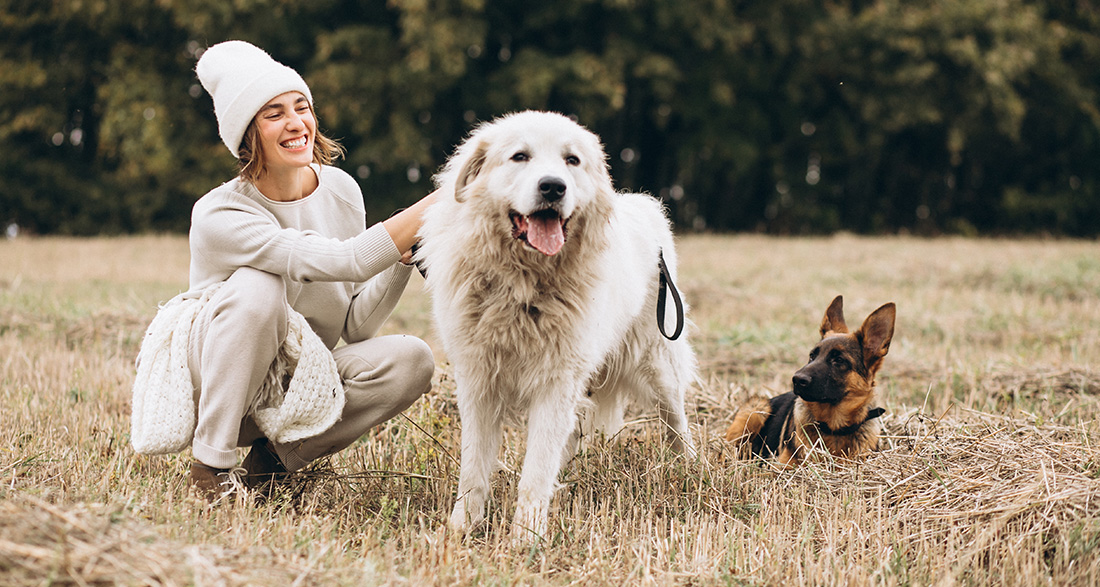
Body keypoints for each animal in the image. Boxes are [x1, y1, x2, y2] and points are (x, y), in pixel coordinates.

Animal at [415, 110, 699, 543]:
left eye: (571, 160)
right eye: (520, 156)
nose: (553, 187)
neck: (524, 285)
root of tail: (645, 205)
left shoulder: (556, 380)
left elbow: (536, 469)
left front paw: (525, 538)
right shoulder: (479, 381)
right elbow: (474, 467)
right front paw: (463, 528)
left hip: (658, 362)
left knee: (676, 421)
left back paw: (692, 468)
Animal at [726, 296, 897, 468]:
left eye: (839, 360)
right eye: (812, 356)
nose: (796, 379)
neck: (834, 428)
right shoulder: (783, 466)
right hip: (756, 410)